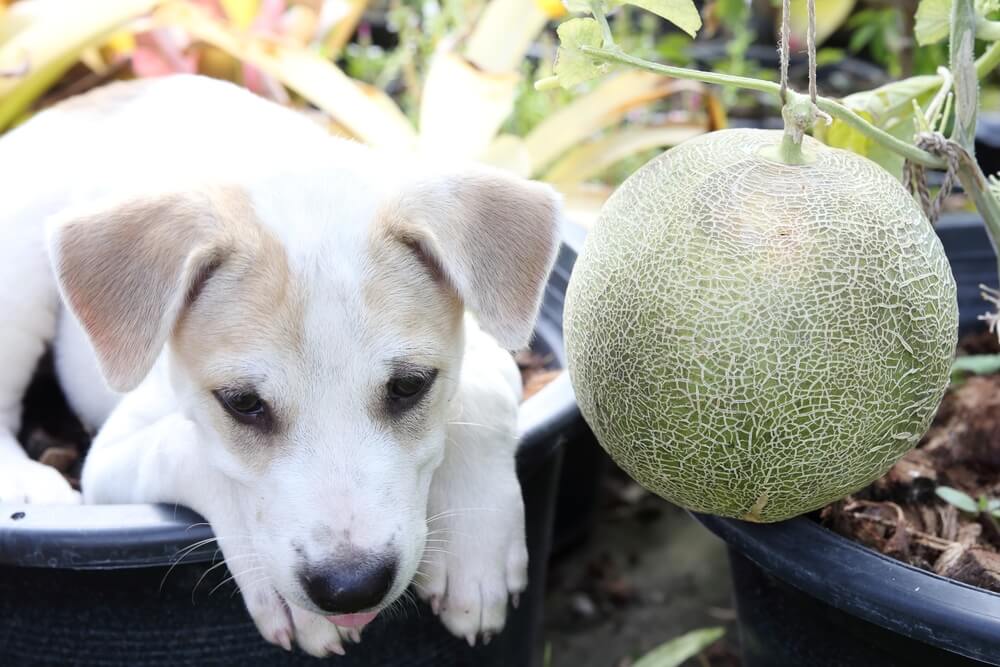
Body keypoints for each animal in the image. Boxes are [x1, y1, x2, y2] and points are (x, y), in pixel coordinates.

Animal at [0, 77, 564, 656]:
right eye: (243, 403)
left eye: (410, 386)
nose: (350, 587)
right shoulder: (111, 459)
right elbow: (192, 450)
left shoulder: (486, 346)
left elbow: (480, 396)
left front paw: (476, 550)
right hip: (17, 271)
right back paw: (24, 482)